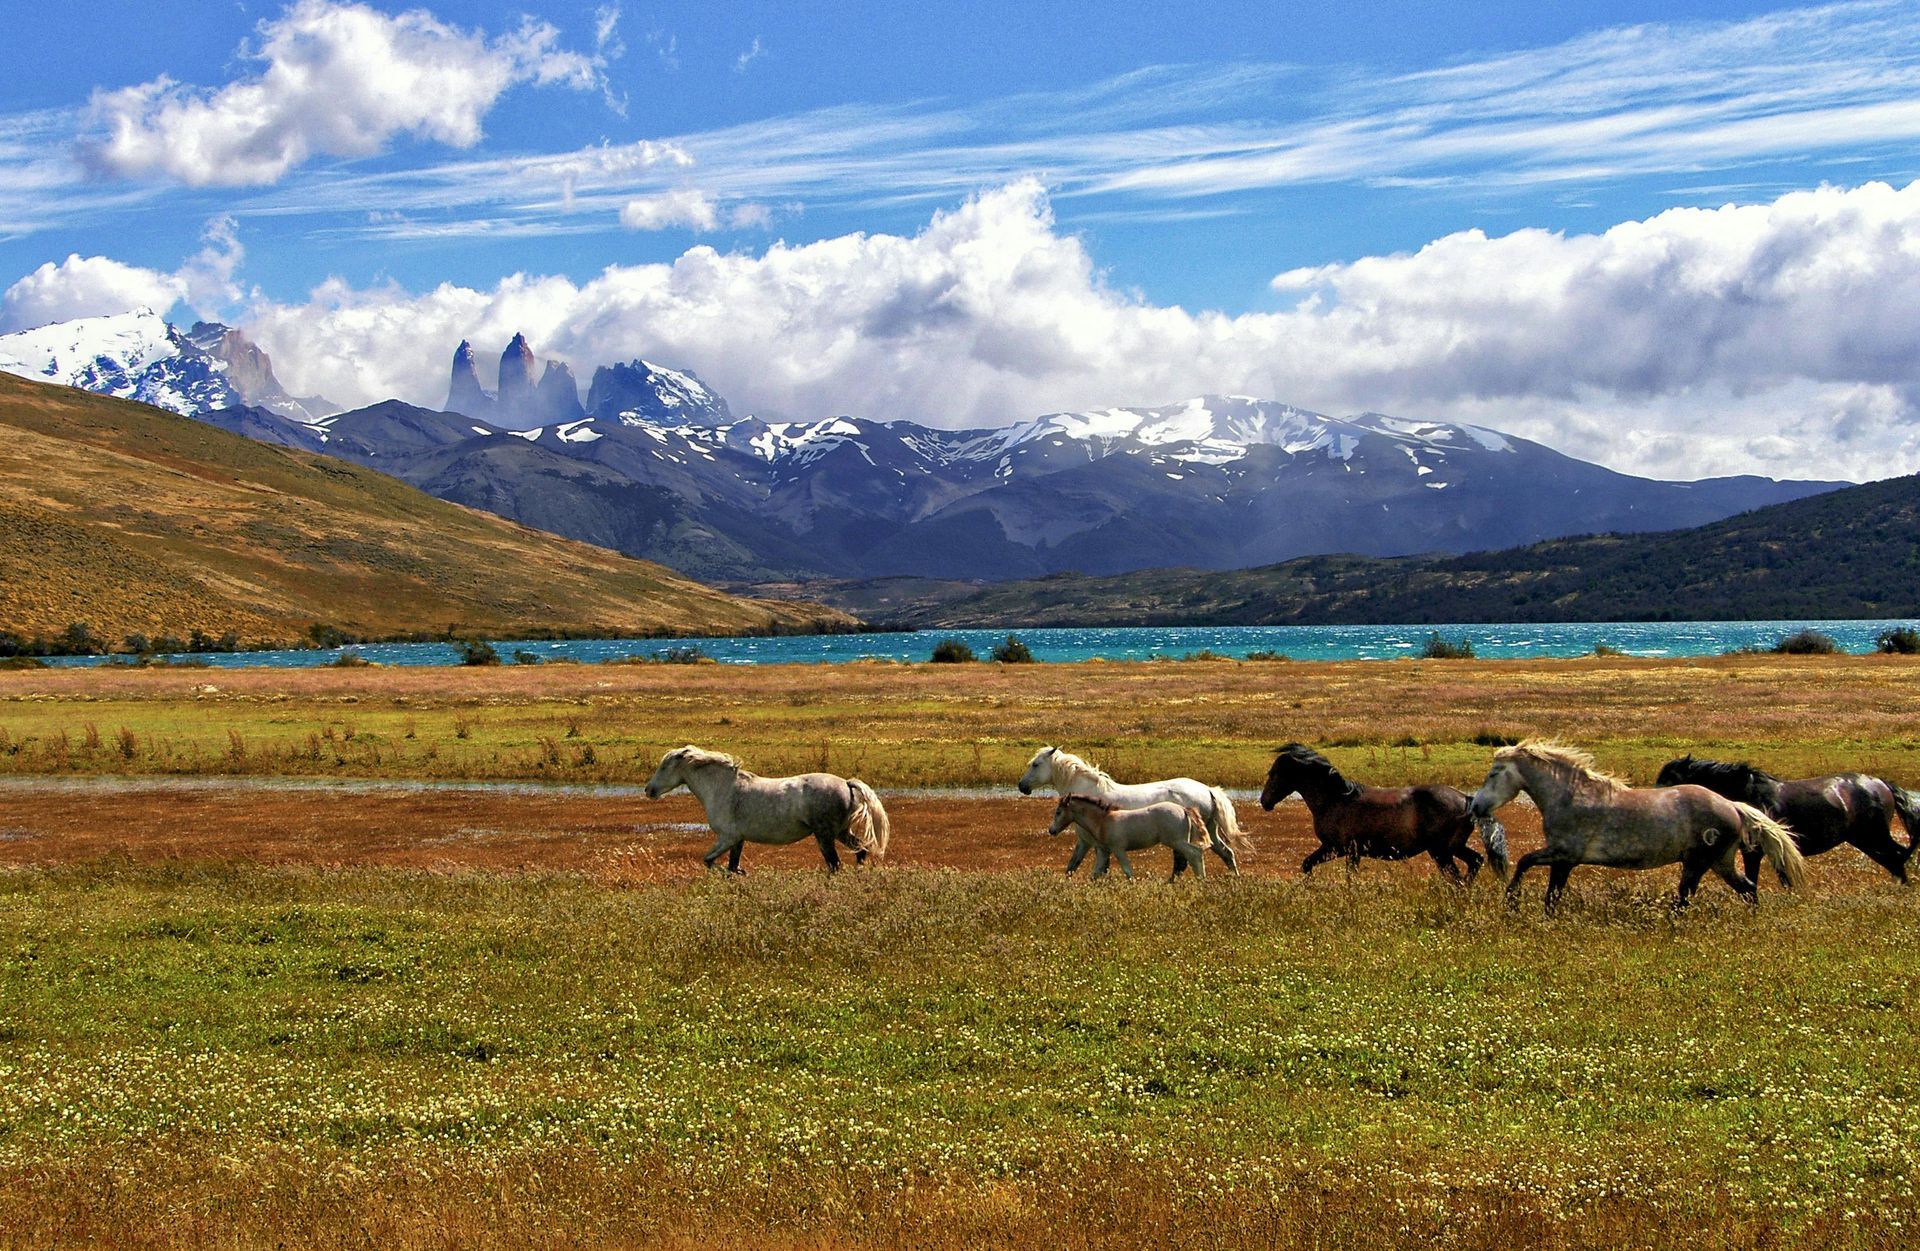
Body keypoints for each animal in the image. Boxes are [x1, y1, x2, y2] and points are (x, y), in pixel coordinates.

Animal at [643, 745, 890, 873]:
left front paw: (741, 873)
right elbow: (730, 866)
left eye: (664, 766)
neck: (723, 789)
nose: (649, 790)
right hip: (840, 832)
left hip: (825, 835)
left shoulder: (727, 837)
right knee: (860, 850)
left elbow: (710, 861)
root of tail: (846, 783)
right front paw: (740, 874)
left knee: (835, 864)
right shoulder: (737, 840)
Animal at [1047, 795, 1212, 881]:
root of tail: (1183, 809)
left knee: (1195, 853)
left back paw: (1201, 880)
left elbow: (1128, 871)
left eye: (1058, 812)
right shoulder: (1104, 851)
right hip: (1180, 841)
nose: (1051, 830)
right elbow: (1095, 873)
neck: (1103, 821)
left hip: (1176, 841)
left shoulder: (1118, 849)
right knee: (1187, 859)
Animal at [1259, 743, 1508, 882]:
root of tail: (1467, 800)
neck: (1335, 800)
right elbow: (1310, 865)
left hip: (1441, 852)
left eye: (1274, 773)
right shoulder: (1345, 851)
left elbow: (1320, 868)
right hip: (1453, 848)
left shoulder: (1340, 849)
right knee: (1475, 861)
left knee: (1457, 876)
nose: (1264, 802)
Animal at [1469, 741, 1807, 912]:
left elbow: (1526, 864)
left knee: (1687, 896)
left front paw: (1511, 900)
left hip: (1698, 863)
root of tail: (1733, 806)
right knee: (1747, 888)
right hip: (1719, 862)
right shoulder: (1563, 860)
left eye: (1494, 773)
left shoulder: (1563, 854)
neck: (1571, 796)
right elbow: (1551, 892)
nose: (1475, 806)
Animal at [1656, 755, 1920, 885]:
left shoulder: (1754, 851)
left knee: (1897, 857)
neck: (1747, 794)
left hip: (1873, 836)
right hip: (1864, 839)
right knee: (1895, 859)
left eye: (1670, 779)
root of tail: (1881, 784)